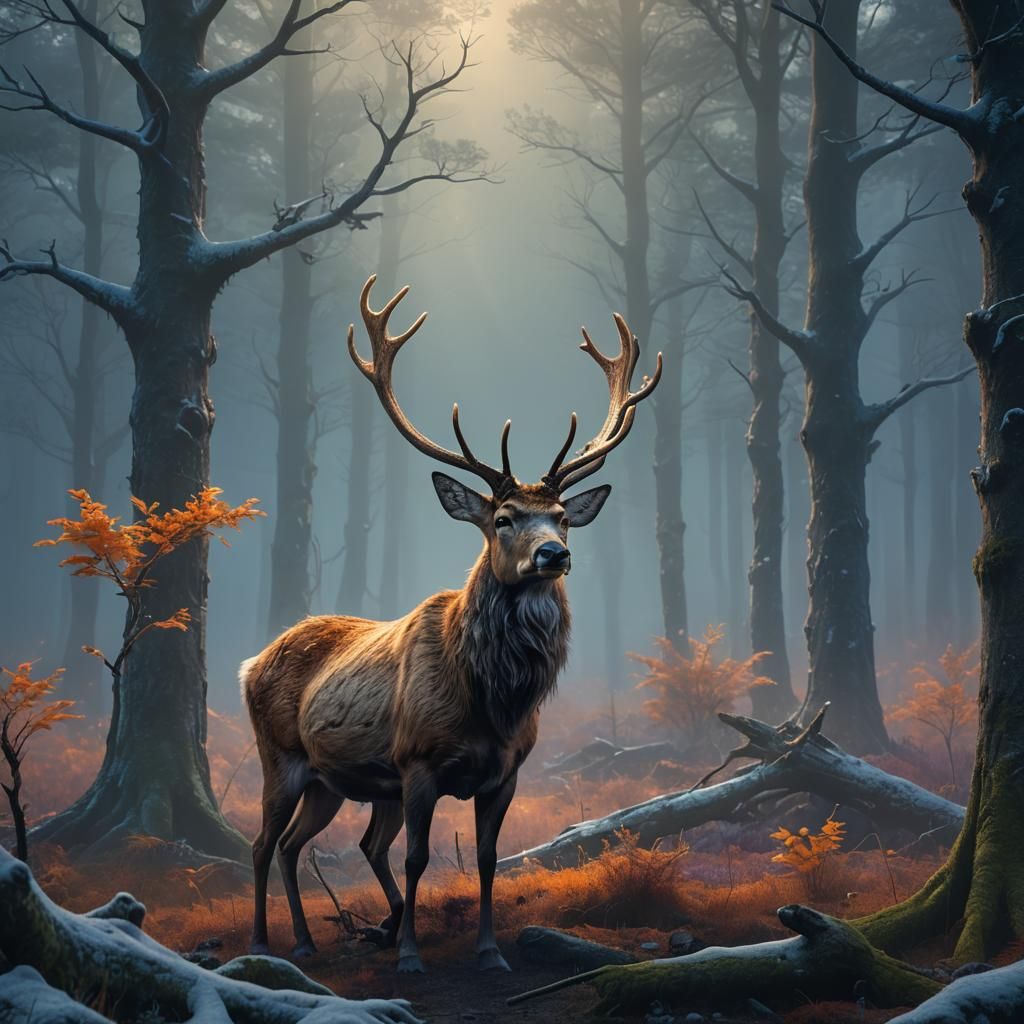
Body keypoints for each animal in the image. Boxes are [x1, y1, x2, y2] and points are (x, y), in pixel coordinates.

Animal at [241, 275, 661, 973]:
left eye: (562, 518)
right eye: (504, 518)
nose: (555, 554)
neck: (491, 701)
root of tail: (250, 662)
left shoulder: (507, 772)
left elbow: (488, 860)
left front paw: (489, 951)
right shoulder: (417, 762)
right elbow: (418, 857)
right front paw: (411, 956)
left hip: (340, 778)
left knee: (319, 844)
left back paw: (317, 935)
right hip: (282, 754)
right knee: (264, 842)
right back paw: (267, 941)